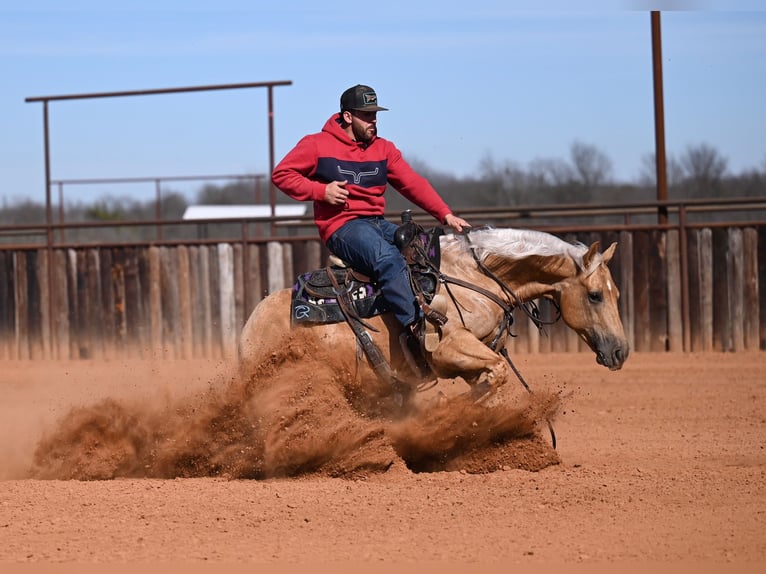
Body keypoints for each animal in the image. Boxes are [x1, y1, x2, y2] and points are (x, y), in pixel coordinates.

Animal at [239, 226, 629, 411]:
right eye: (595, 295)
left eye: (616, 295)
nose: (621, 351)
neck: (476, 279)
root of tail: (249, 329)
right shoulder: (449, 349)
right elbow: (498, 373)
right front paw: (444, 407)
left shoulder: (475, 358)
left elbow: (491, 381)